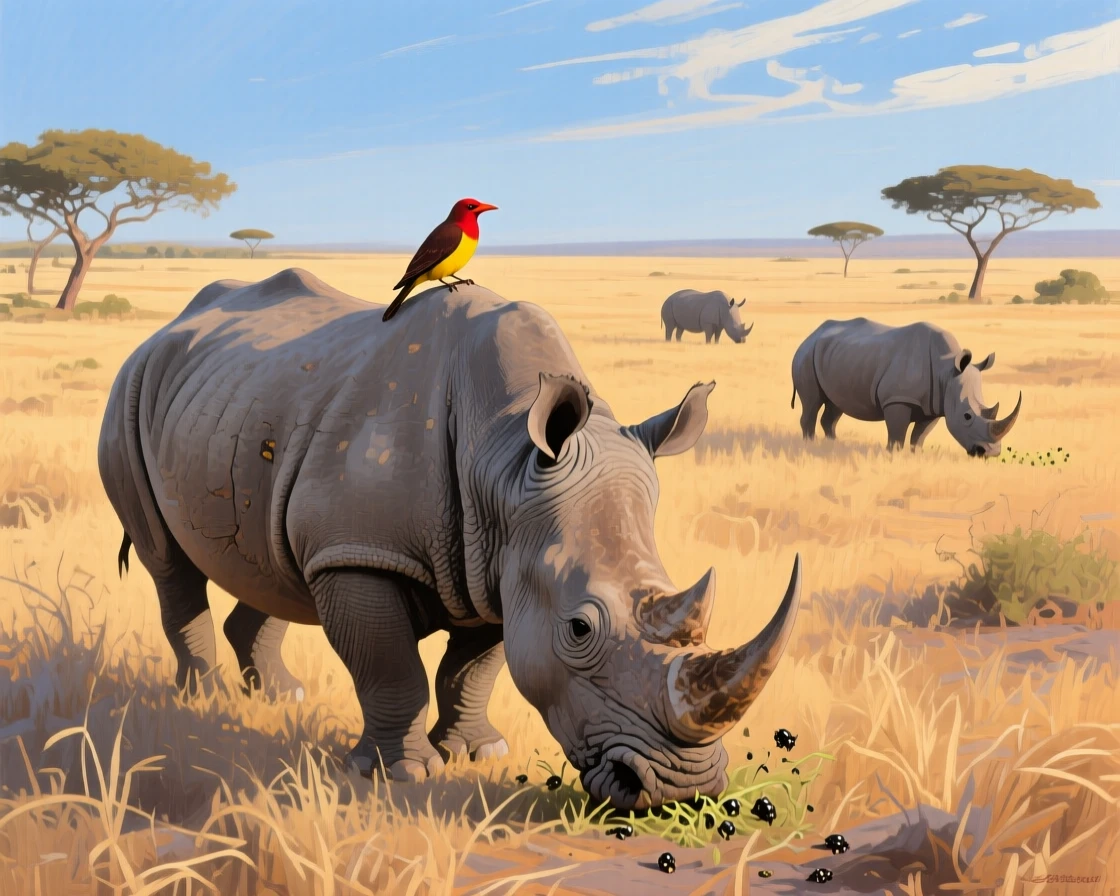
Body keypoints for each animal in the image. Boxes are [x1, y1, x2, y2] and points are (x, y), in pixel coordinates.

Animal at [99, 268, 801, 810]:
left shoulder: (501, 566)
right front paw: (400, 775)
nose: (683, 790)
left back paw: (278, 694)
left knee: (273, 559)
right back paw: (203, 697)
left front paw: (479, 752)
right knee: (168, 563)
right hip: (130, 390)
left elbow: (474, 669)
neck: (506, 457)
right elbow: (390, 668)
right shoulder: (363, 553)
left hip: (245, 408)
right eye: (579, 629)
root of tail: (163, 331)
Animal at [791, 318, 1021, 455]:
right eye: (966, 416)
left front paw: (915, 455)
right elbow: (897, 433)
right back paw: (810, 445)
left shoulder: (934, 405)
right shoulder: (897, 399)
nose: (990, 453)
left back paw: (833, 445)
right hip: (806, 356)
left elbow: (920, 435)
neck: (946, 371)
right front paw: (893, 455)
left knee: (834, 405)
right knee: (812, 403)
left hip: (836, 357)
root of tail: (810, 335)